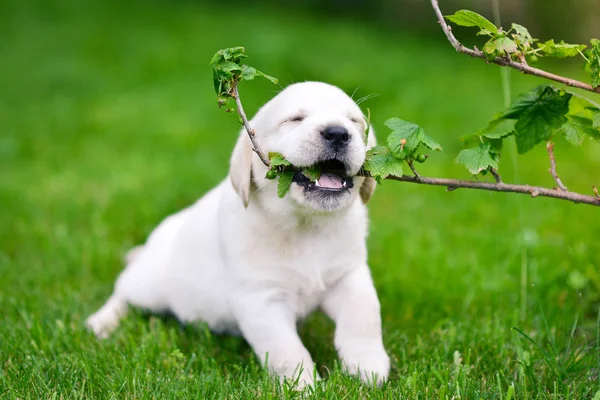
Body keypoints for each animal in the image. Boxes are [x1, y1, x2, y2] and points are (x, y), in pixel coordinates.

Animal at [86, 80, 392, 384]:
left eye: (354, 121)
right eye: (294, 119)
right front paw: (302, 385)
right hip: (149, 285)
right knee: (123, 293)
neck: (307, 224)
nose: (338, 133)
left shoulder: (349, 276)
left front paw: (368, 367)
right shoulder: (261, 299)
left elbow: (364, 317)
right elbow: (287, 349)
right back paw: (101, 323)